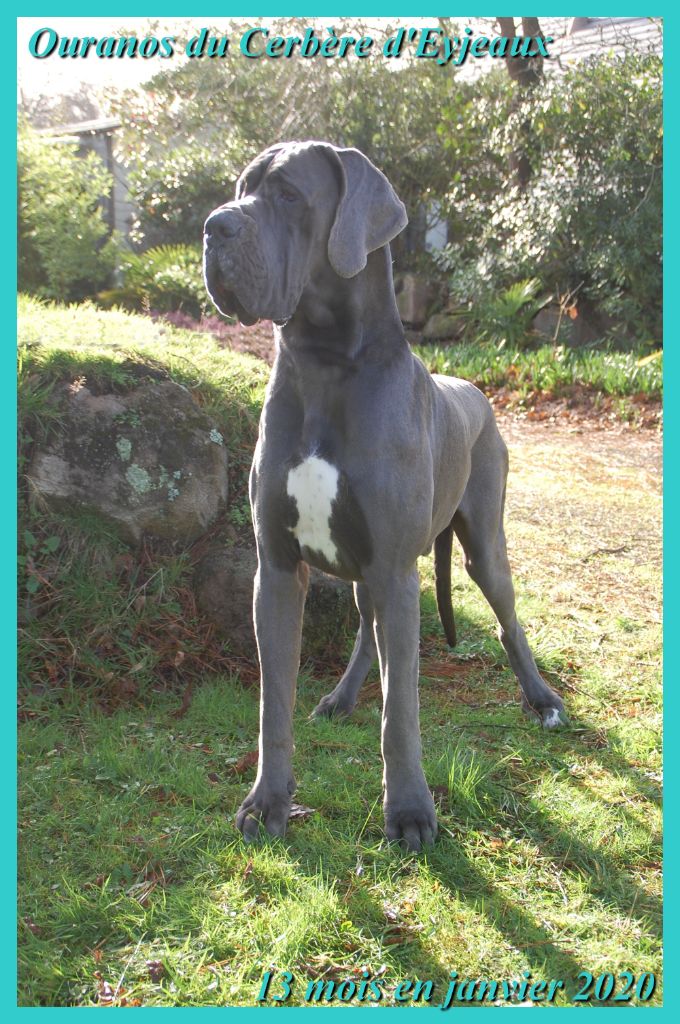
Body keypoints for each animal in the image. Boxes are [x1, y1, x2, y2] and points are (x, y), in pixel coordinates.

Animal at [203, 141, 565, 851]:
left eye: (289, 195)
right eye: (240, 188)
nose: (213, 226)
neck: (325, 365)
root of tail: (476, 391)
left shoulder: (396, 569)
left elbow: (401, 711)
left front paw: (410, 812)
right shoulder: (277, 569)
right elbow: (272, 704)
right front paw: (267, 802)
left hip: (482, 546)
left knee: (507, 622)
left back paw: (541, 699)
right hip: (362, 570)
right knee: (368, 633)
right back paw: (341, 698)